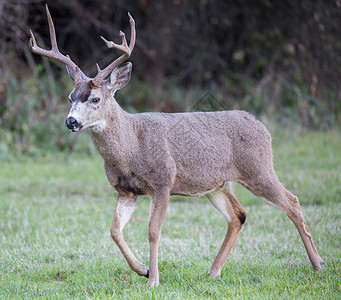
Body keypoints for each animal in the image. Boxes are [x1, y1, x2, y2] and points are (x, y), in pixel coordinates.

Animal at [29, 5, 322, 288]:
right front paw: (143, 270)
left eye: (95, 99)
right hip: (217, 184)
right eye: (71, 97)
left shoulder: (163, 181)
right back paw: (212, 272)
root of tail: (263, 128)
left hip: (258, 169)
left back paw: (317, 263)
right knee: (238, 215)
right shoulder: (126, 190)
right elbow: (114, 230)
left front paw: (153, 281)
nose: (71, 121)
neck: (131, 147)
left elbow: (152, 231)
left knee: (292, 202)